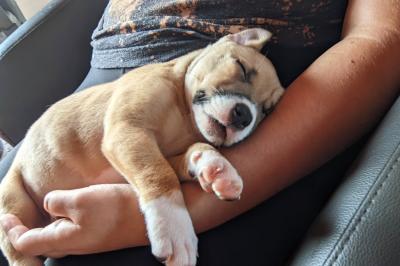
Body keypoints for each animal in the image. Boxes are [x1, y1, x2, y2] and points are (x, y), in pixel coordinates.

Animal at [0, 28, 284, 266]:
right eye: (241, 68)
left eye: (267, 111)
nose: (244, 115)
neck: (184, 117)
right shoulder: (128, 132)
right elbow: (159, 176)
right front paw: (173, 227)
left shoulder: (159, 151)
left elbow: (188, 154)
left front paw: (214, 167)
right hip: (13, 201)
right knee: (19, 253)